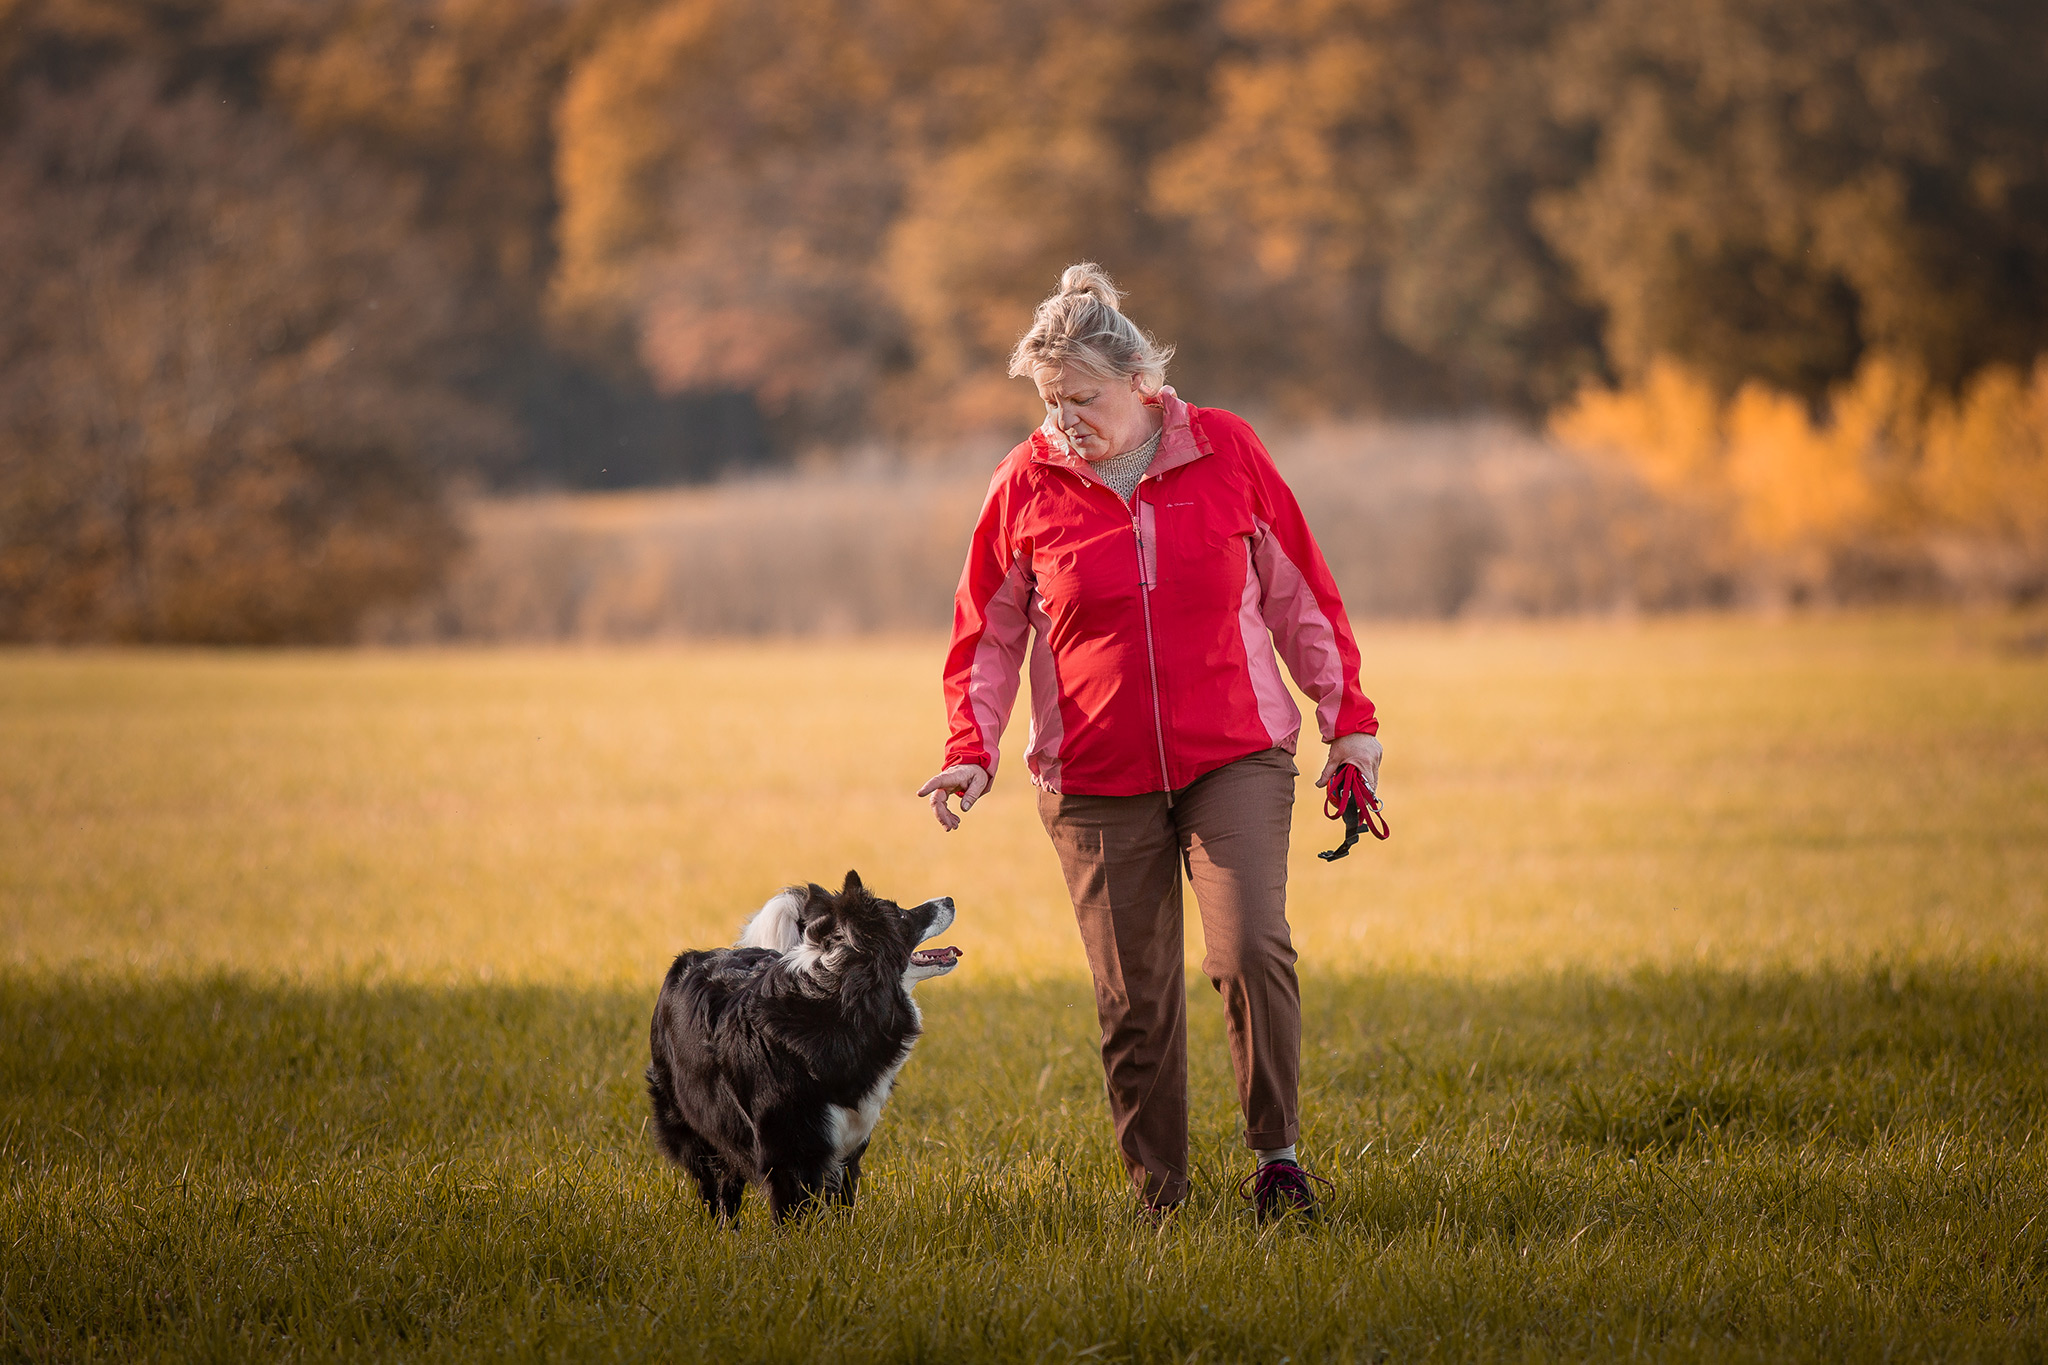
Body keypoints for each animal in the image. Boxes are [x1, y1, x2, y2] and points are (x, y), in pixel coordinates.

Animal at [643, 871, 962, 1219]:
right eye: (902, 915)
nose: (950, 899)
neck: (839, 1006)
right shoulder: (787, 1155)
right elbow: (793, 1216)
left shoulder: (846, 1148)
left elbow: (842, 1208)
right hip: (693, 1124)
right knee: (717, 1185)